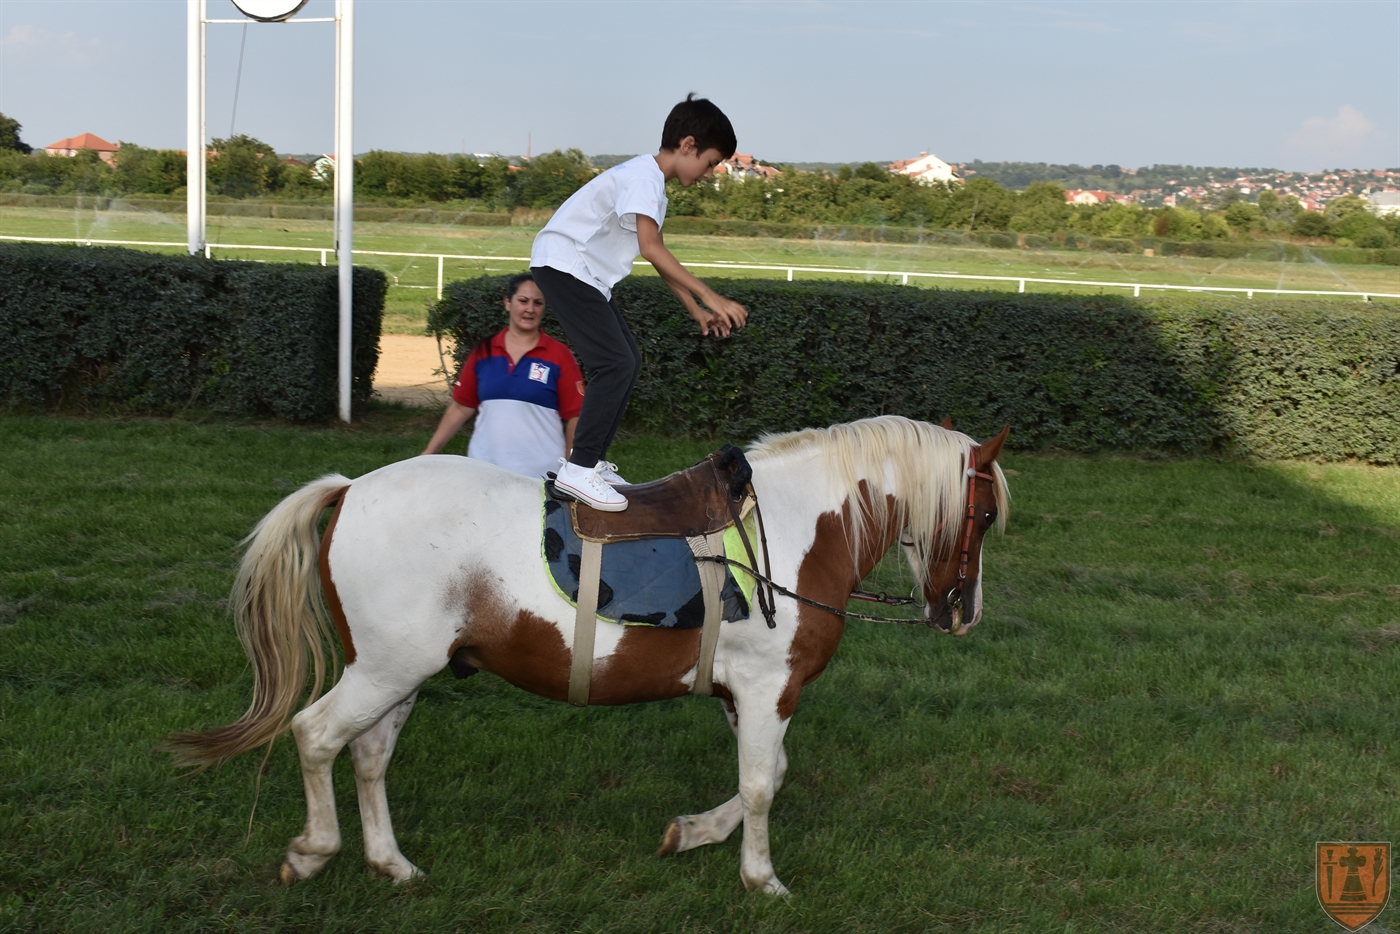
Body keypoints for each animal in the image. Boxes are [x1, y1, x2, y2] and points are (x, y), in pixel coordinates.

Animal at [166, 415, 1010, 895]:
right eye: (986, 514)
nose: (961, 613)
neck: (797, 526)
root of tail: (350, 490)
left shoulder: (747, 694)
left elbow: (767, 777)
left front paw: (694, 834)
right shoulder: (771, 687)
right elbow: (763, 787)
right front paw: (761, 878)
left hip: (398, 674)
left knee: (368, 756)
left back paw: (390, 863)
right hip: (384, 670)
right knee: (315, 737)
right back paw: (315, 850)